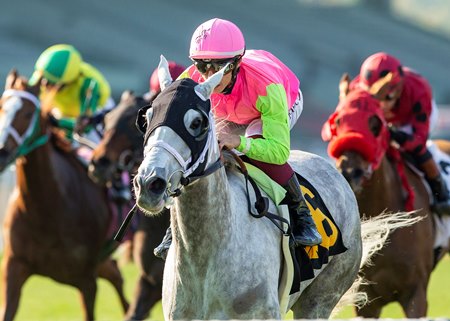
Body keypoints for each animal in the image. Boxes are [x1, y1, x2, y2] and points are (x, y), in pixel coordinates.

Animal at [0, 70, 128, 320]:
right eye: (1, 106)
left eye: (28, 113)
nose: (0, 152)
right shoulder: (14, 268)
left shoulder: (87, 281)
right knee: (115, 272)